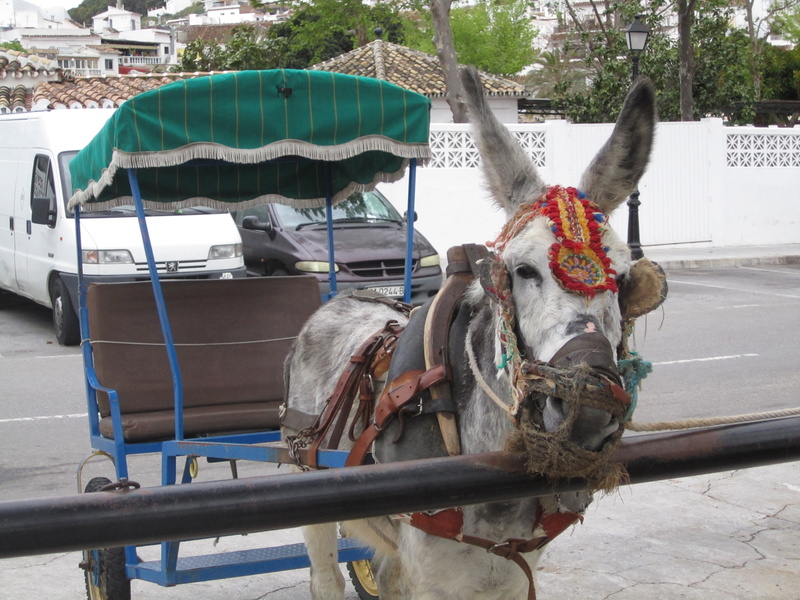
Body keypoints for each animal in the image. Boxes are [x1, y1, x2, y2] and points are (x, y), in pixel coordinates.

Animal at [281, 66, 659, 600]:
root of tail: (339, 300)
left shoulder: (512, 572)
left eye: (625, 279)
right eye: (522, 271)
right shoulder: (433, 576)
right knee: (326, 578)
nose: (587, 407)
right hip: (307, 481)